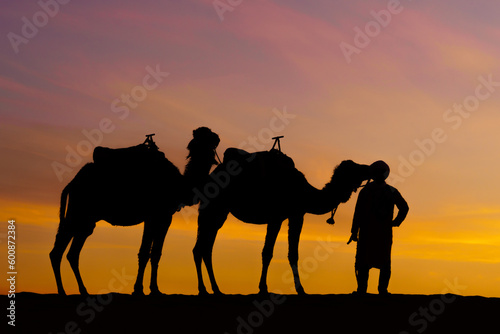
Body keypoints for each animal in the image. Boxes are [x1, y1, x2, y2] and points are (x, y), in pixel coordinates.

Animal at [49, 127, 220, 294]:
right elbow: (146, 252)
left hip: (87, 220)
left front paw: (153, 289)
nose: (217, 137)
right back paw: (62, 291)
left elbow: (154, 253)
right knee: (57, 251)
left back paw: (83, 290)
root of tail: (72, 183)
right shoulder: (156, 216)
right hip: (78, 212)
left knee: (72, 253)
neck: (180, 185)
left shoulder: (161, 217)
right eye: (206, 136)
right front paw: (141, 289)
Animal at [193, 149, 374, 294]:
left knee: (205, 248)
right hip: (213, 207)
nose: (370, 167)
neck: (306, 193)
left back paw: (215, 289)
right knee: (201, 248)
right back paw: (203, 289)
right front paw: (267, 288)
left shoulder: (294, 215)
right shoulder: (280, 216)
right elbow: (270, 252)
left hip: (219, 212)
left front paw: (297, 288)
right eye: (356, 168)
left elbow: (291, 253)